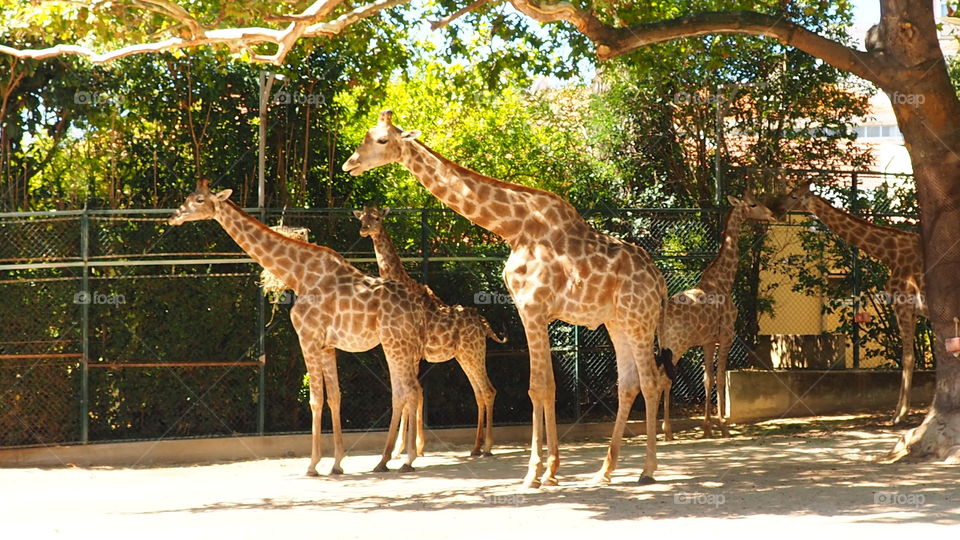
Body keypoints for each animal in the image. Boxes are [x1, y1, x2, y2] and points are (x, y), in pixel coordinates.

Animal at [168, 179, 429, 475]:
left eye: (199, 200)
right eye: (189, 196)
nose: (174, 216)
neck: (299, 275)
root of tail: (418, 308)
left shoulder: (307, 338)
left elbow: (315, 399)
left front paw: (313, 464)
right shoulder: (327, 346)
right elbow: (335, 397)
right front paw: (337, 463)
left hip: (396, 344)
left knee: (410, 390)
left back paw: (406, 459)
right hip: (397, 345)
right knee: (404, 392)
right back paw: (385, 460)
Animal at [354, 206, 505, 458]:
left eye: (376, 218)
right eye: (362, 218)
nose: (364, 230)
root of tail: (484, 325)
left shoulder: (413, 353)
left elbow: (414, 393)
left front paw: (406, 448)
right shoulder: (415, 355)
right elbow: (418, 393)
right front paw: (413, 448)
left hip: (472, 354)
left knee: (488, 390)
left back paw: (487, 447)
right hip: (465, 356)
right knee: (479, 392)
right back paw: (475, 447)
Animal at [657, 192, 776, 440]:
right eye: (753, 204)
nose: (772, 214)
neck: (724, 281)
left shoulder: (708, 341)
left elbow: (707, 378)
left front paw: (707, 427)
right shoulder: (726, 336)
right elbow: (721, 378)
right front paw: (723, 426)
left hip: (663, 346)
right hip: (676, 346)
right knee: (664, 379)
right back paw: (667, 431)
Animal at [775, 180, 928, 425]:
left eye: (794, 195)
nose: (778, 208)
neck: (889, 254)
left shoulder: (904, 305)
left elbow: (907, 357)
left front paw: (898, 415)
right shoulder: (918, 312)